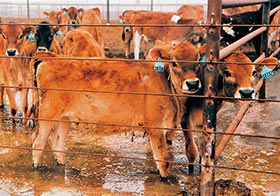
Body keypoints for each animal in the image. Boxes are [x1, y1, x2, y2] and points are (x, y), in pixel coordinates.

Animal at [30, 40, 201, 179]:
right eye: (174, 63)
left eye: (198, 60)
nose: (192, 83)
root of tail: (51, 58)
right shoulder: (155, 127)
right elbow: (163, 159)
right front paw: (165, 178)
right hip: (47, 115)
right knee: (38, 143)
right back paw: (36, 168)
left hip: (65, 118)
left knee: (56, 141)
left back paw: (61, 163)